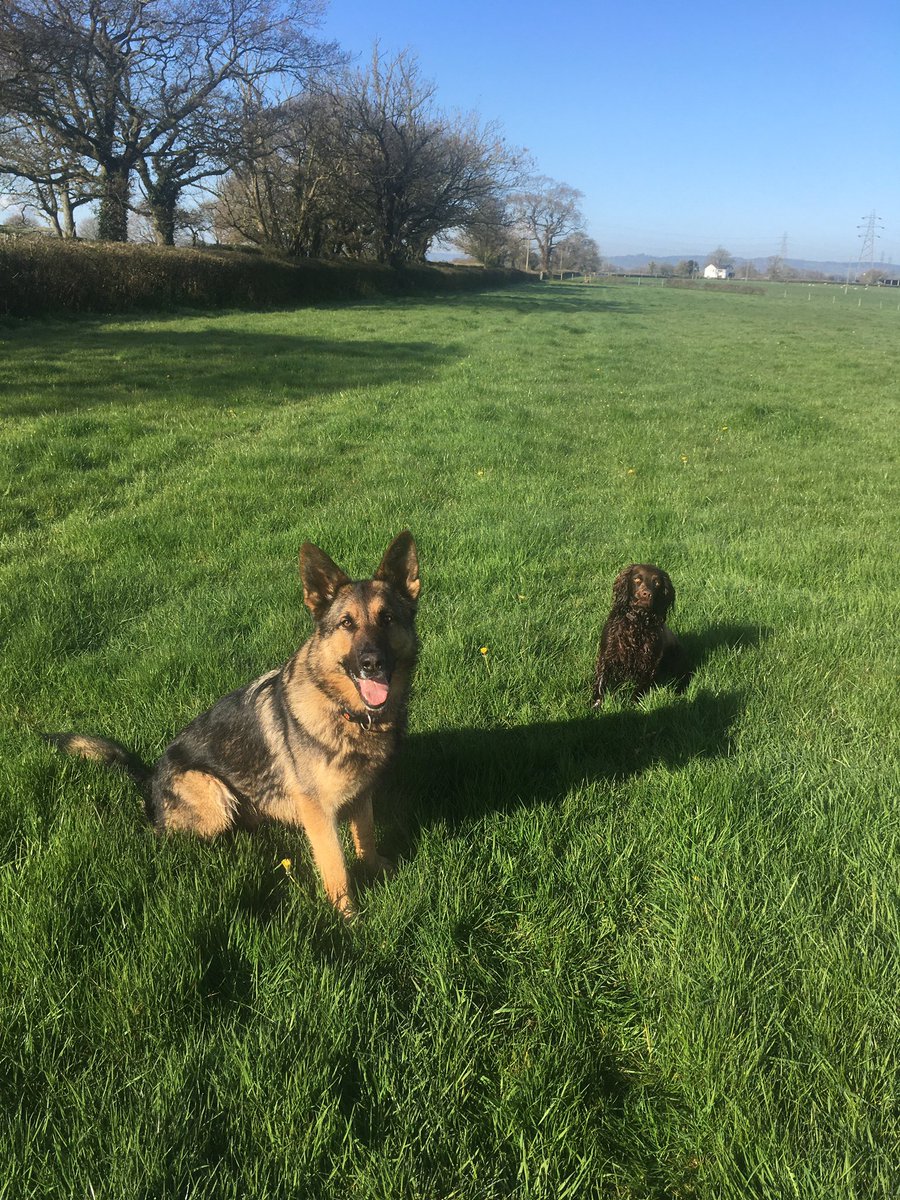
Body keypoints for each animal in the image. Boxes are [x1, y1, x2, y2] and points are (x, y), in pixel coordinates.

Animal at [49, 530, 427, 912]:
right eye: (347, 623)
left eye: (387, 619)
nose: (372, 663)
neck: (343, 709)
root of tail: (150, 776)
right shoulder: (319, 812)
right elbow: (336, 868)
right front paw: (347, 916)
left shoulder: (360, 794)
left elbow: (366, 835)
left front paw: (375, 867)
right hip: (213, 795)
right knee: (165, 836)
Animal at [592, 561, 691, 700]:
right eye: (637, 579)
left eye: (657, 583)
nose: (646, 594)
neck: (637, 623)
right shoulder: (607, 654)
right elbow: (601, 682)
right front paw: (596, 702)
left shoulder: (650, 662)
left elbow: (639, 690)